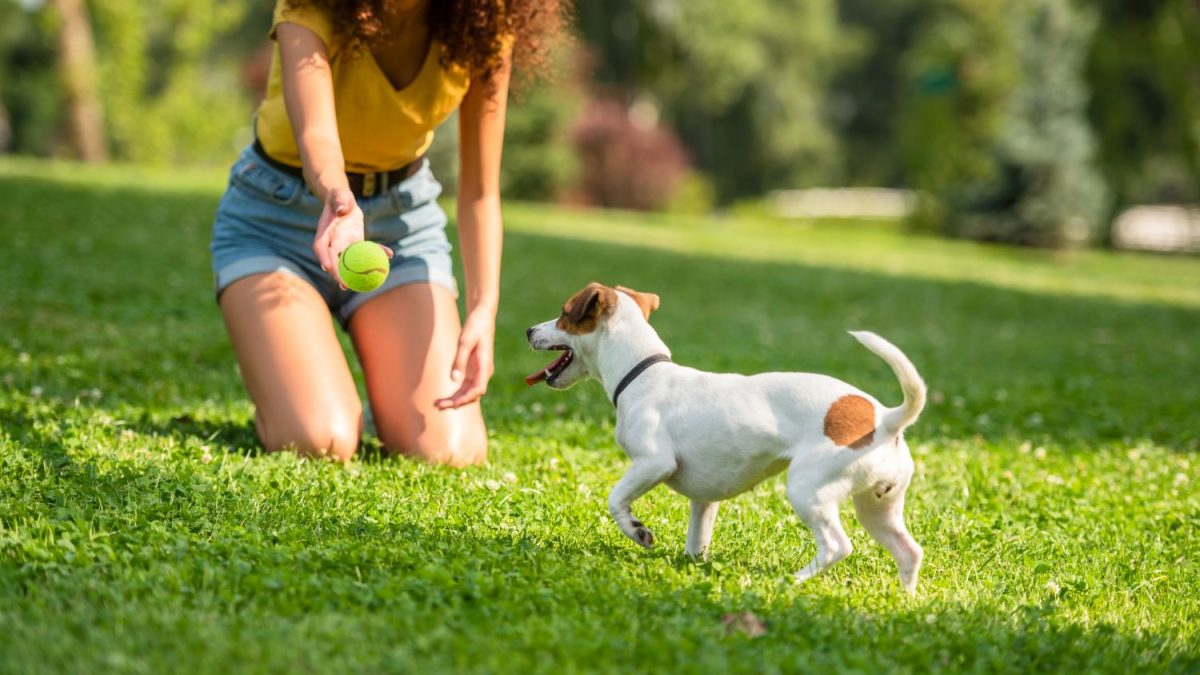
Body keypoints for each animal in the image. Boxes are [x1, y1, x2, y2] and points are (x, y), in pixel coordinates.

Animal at [525, 278, 926, 588]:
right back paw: (905, 599)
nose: (528, 330)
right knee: (909, 551)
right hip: (878, 507)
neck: (641, 371)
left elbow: (615, 499)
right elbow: (697, 540)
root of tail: (885, 419)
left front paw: (637, 530)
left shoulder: (654, 463)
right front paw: (693, 565)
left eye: (564, 313)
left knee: (837, 546)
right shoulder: (704, 500)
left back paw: (793, 581)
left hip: (809, 489)